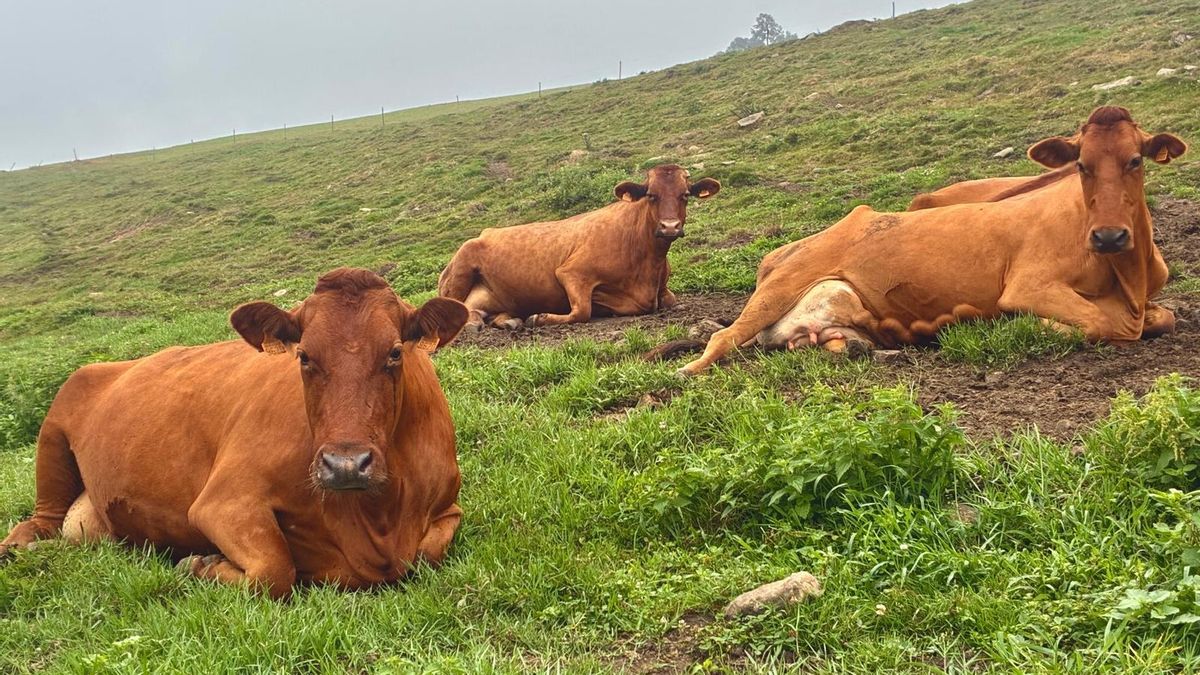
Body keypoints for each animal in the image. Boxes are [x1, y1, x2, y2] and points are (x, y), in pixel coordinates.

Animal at [0, 268, 469, 599]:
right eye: (303, 356)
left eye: (394, 353)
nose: (346, 465)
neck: (375, 520)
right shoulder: (222, 501)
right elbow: (274, 571)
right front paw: (201, 565)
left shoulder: (449, 506)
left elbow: (427, 553)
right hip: (54, 430)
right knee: (39, 521)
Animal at [438, 164, 720, 329]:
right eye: (651, 195)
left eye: (685, 195)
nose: (669, 226)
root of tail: (486, 232)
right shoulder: (572, 273)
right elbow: (582, 311)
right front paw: (540, 317)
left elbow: (670, 300)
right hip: (461, 266)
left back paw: (507, 321)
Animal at [678, 107, 1186, 375]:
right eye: (1081, 165)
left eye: (1136, 160)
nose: (1109, 235)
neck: (1129, 277)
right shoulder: (1029, 285)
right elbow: (1106, 323)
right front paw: (1032, 325)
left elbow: (1165, 317)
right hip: (783, 284)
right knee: (723, 338)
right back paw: (681, 376)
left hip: (839, 310)